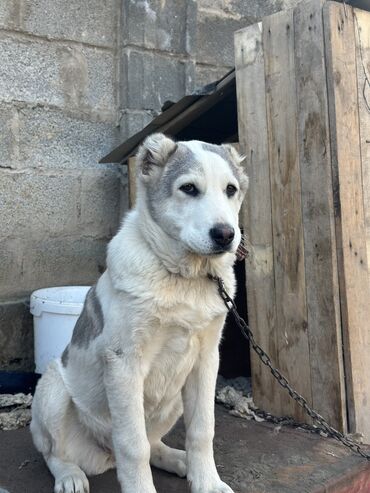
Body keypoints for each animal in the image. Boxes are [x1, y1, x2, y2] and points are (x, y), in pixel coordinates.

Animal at [31, 132, 249, 492]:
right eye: (189, 188)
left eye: (231, 189)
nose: (225, 234)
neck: (183, 278)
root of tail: (104, 454)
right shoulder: (124, 362)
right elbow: (133, 446)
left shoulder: (206, 360)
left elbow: (202, 430)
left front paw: (207, 482)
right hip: (53, 389)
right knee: (54, 453)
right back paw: (70, 476)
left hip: (175, 398)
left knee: (154, 442)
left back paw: (177, 459)